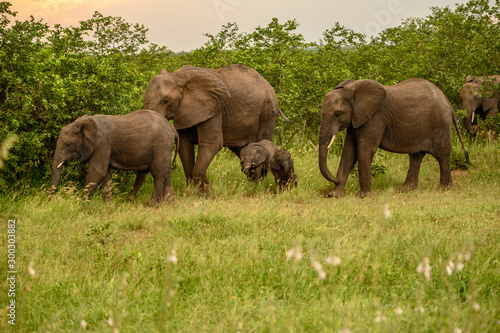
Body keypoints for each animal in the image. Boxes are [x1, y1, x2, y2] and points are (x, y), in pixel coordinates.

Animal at [50, 110, 179, 204]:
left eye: (68, 144)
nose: (51, 201)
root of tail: (173, 129)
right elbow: (104, 173)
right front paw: (108, 205)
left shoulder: (102, 144)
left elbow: (96, 170)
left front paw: (82, 205)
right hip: (164, 147)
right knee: (166, 173)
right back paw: (169, 204)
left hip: (161, 145)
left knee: (158, 173)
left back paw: (151, 206)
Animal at [143, 63, 290, 192]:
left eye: (166, 101)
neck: (177, 76)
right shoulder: (184, 109)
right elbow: (184, 145)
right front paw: (193, 190)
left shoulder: (214, 108)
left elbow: (212, 143)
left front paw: (207, 190)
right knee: (243, 150)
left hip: (267, 112)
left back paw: (257, 185)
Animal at [320, 78, 468, 197]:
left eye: (337, 114)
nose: (335, 179)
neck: (351, 91)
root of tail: (447, 102)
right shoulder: (356, 119)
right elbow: (349, 151)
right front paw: (334, 195)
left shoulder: (375, 118)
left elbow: (365, 150)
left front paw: (364, 196)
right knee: (416, 156)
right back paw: (406, 190)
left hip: (440, 123)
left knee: (442, 155)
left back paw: (444, 189)